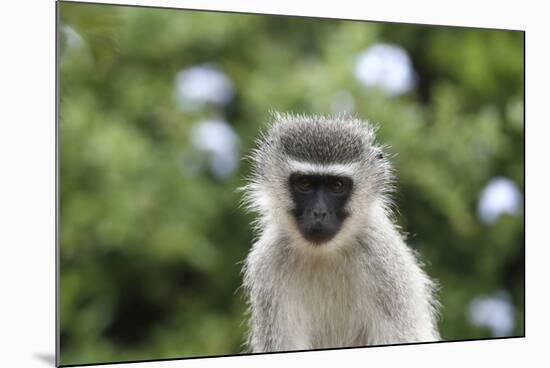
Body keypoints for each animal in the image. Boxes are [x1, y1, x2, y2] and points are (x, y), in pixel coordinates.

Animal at [242, 113, 440, 352]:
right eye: (305, 183)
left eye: (337, 185)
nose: (319, 213)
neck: (324, 255)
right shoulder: (269, 265)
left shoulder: (385, 265)